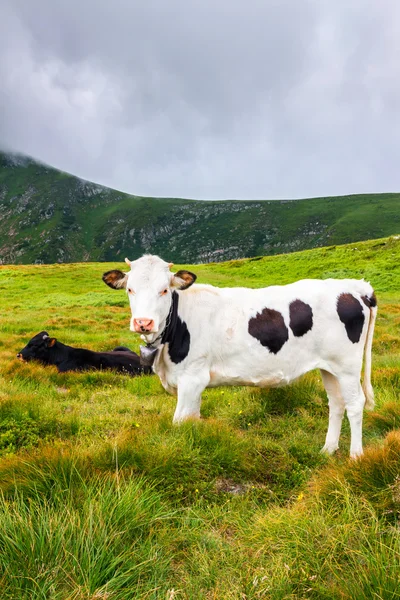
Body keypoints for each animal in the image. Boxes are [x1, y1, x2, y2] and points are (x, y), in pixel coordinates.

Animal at [103, 255, 378, 458]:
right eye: (130, 289)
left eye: (164, 290)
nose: (143, 322)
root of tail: (355, 287)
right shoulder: (192, 383)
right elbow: (192, 418)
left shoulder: (192, 378)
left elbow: (180, 421)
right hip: (329, 367)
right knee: (337, 403)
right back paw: (327, 449)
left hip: (347, 367)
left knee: (355, 403)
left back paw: (356, 456)